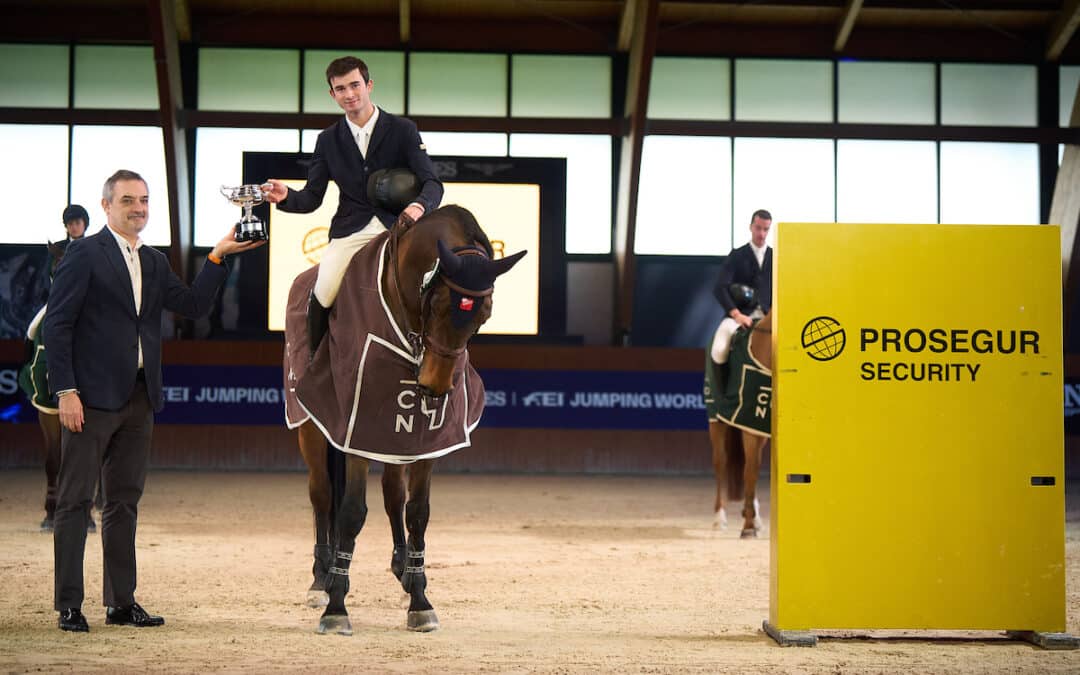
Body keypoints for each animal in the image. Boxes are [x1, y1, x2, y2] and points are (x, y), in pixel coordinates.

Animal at [285, 204, 524, 630]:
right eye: (438, 304)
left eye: (484, 314)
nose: (433, 387)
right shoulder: (357, 426)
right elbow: (351, 512)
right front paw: (336, 607)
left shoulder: (423, 433)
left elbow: (417, 512)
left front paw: (420, 600)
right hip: (311, 426)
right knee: (322, 494)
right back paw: (320, 580)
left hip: (392, 438)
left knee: (392, 495)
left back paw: (403, 570)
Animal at [704, 308, 773, 537]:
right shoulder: (750, 427)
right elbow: (750, 471)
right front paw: (748, 527)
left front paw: (752, 520)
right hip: (716, 422)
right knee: (721, 463)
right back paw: (720, 518)